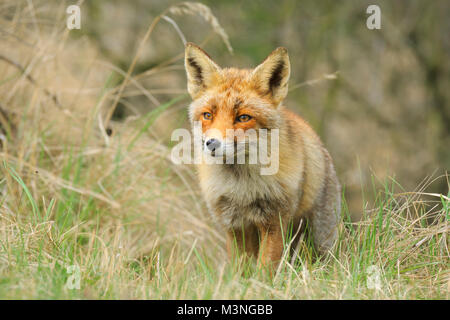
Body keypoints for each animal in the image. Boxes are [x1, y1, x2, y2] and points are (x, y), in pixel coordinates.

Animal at [183, 41, 342, 268]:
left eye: (243, 117)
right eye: (207, 115)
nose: (211, 143)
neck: (241, 187)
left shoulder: (275, 222)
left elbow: (264, 269)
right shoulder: (234, 225)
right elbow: (240, 269)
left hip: (319, 238)